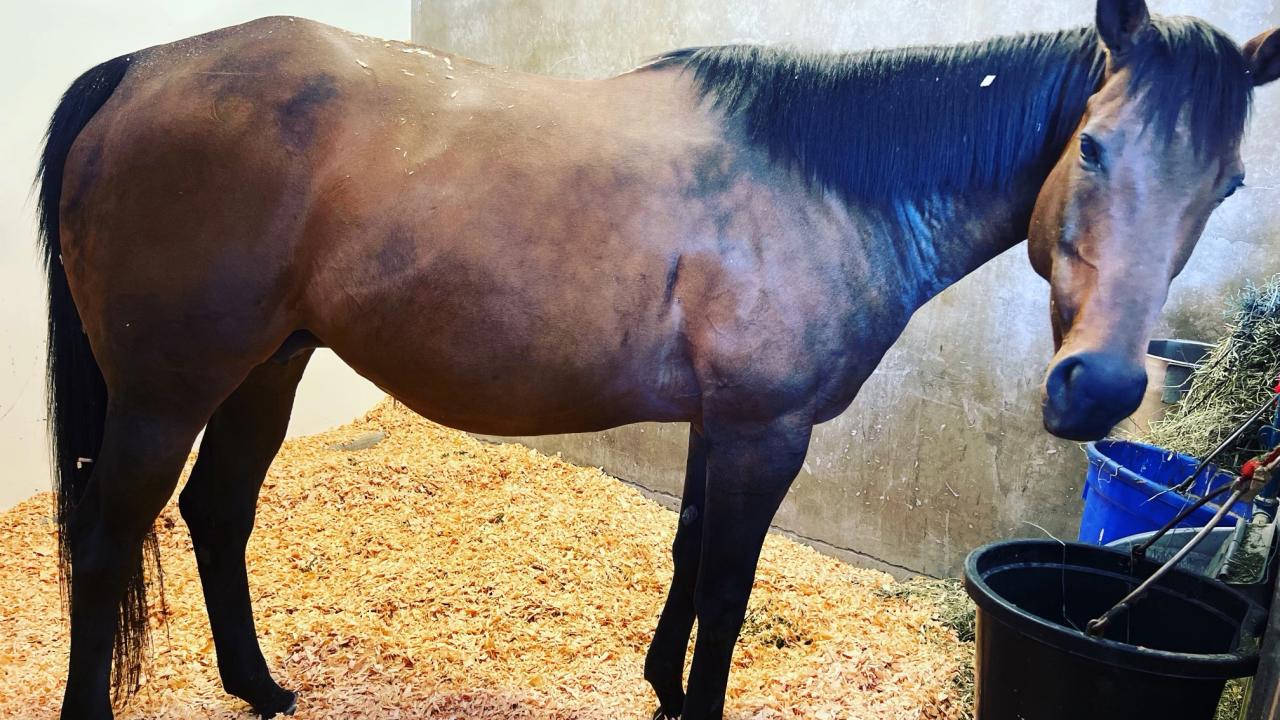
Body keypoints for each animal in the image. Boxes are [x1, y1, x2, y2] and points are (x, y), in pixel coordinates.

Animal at [35, 1, 1280, 717]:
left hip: (267, 369)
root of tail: (140, 68)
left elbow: (685, 557)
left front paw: (660, 687)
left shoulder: (718, 424)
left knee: (217, 514)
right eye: (1093, 147)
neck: (826, 181)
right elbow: (725, 592)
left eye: (1225, 184)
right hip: (165, 393)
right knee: (104, 547)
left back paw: (259, 687)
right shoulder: (765, 433)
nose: (1100, 388)